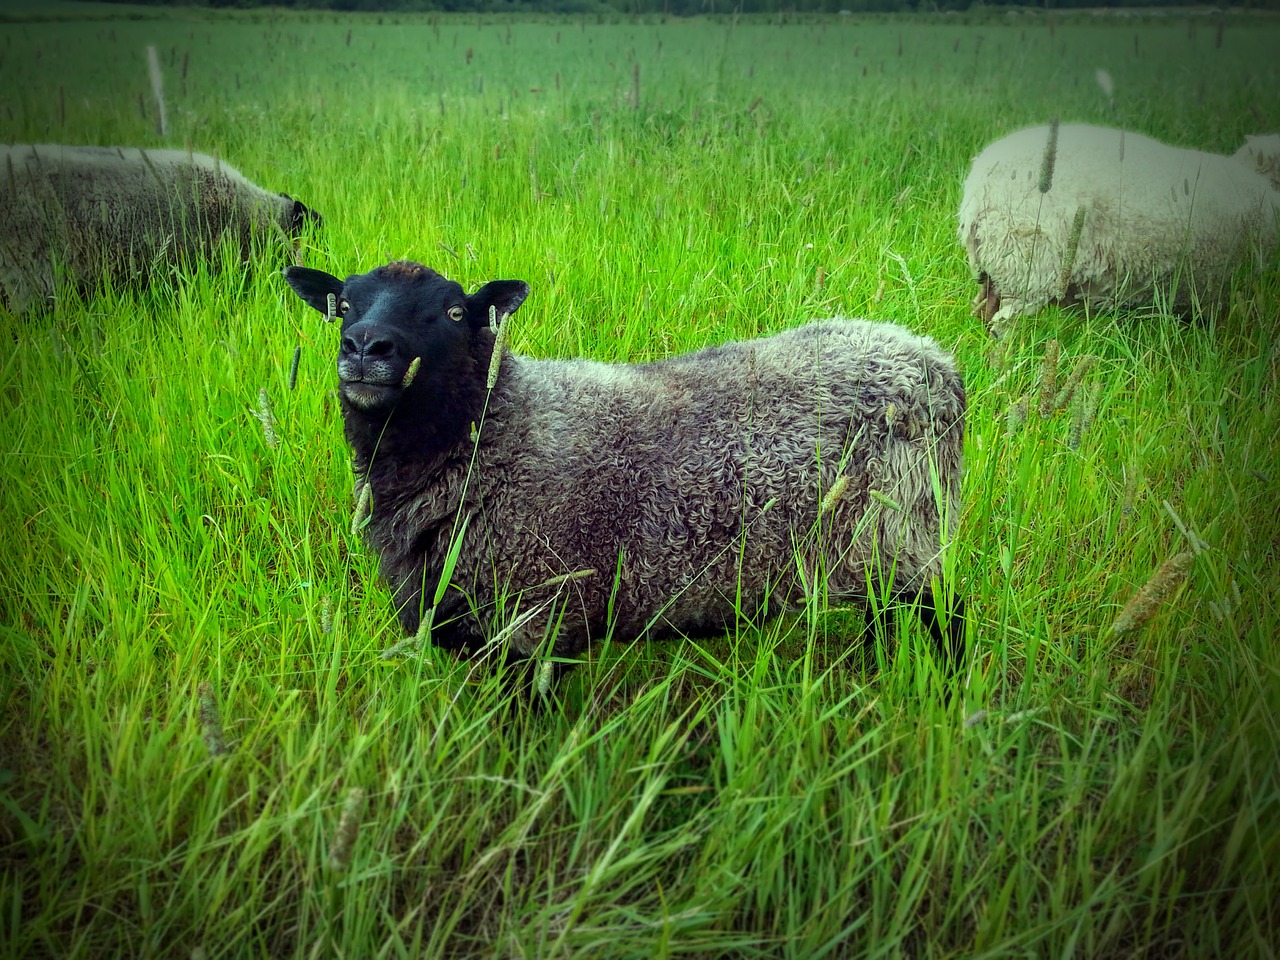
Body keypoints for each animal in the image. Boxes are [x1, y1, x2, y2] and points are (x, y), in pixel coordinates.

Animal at [285, 261, 962, 675]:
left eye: (455, 312)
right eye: (343, 305)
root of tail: (931, 359)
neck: (495, 430)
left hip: (904, 537)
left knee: (944, 620)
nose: (366, 347)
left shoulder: (536, 618)